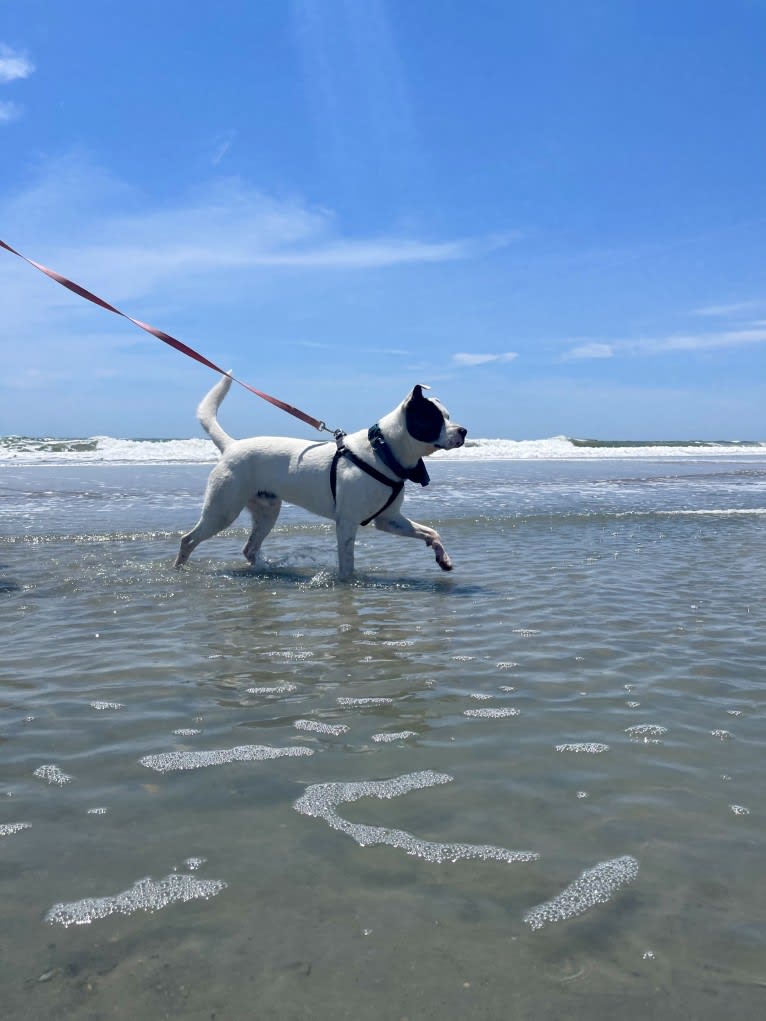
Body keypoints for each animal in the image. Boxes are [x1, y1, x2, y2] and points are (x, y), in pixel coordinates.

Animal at [175, 377, 467, 584]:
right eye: (435, 418)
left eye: (449, 416)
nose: (463, 431)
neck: (382, 451)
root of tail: (231, 445)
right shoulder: (347, 522)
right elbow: (347, 563)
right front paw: (348, 583)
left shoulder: (389, 519)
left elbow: (432, 532)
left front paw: (444, 559)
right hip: (223, 509)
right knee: (188, 540)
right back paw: (180, 569)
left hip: (266, 511)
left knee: (249, 548)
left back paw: (264, 570)